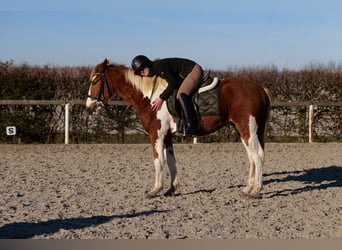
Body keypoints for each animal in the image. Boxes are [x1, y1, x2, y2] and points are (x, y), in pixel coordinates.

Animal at [87, 59, 272, 199]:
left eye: (95, 82)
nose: (89, 107)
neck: (150, 97)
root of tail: (260, 88)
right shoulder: (167, 136)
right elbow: (170, 161)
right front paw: (171, 189)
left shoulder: (156, 134)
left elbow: (158, 161)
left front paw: (155, 190)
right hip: (243, 130)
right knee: (252, 157)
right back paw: (248, 188)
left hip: (247, 129)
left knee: (257, 157)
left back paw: (255, 190)